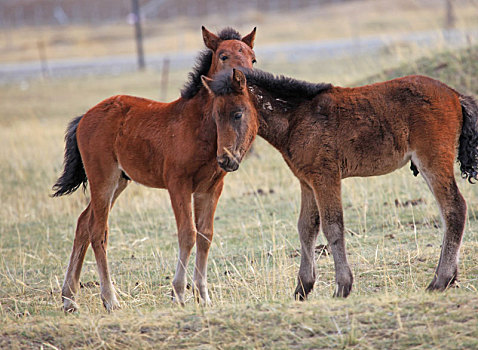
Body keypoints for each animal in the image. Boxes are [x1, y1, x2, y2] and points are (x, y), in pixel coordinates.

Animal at [52, 28, 258, 312]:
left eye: (252, 58)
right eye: (223, 55)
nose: (242, 79)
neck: (197, 126)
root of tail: (84, 117)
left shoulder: (211, 187)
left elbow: (205, 235)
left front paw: (203, 296)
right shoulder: (177, 184)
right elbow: (187, 234)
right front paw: (179, 293)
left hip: (120, 181)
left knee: (83, 222)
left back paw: (69, 298)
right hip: (103, 178)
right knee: (98, 230)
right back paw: (110, 299)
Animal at [202, 69, 478, 300]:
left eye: (238, 114)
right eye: (214, 117)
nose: (225, 160)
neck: (297, 118)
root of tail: (454, 95)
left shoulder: (326, 177)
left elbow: (332, 226)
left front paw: (342, 286)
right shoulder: (307, 181)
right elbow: (306, 227)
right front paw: (302, 288)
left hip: (432, 159)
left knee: (454, 208)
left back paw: (440, 280)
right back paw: (449, 278)